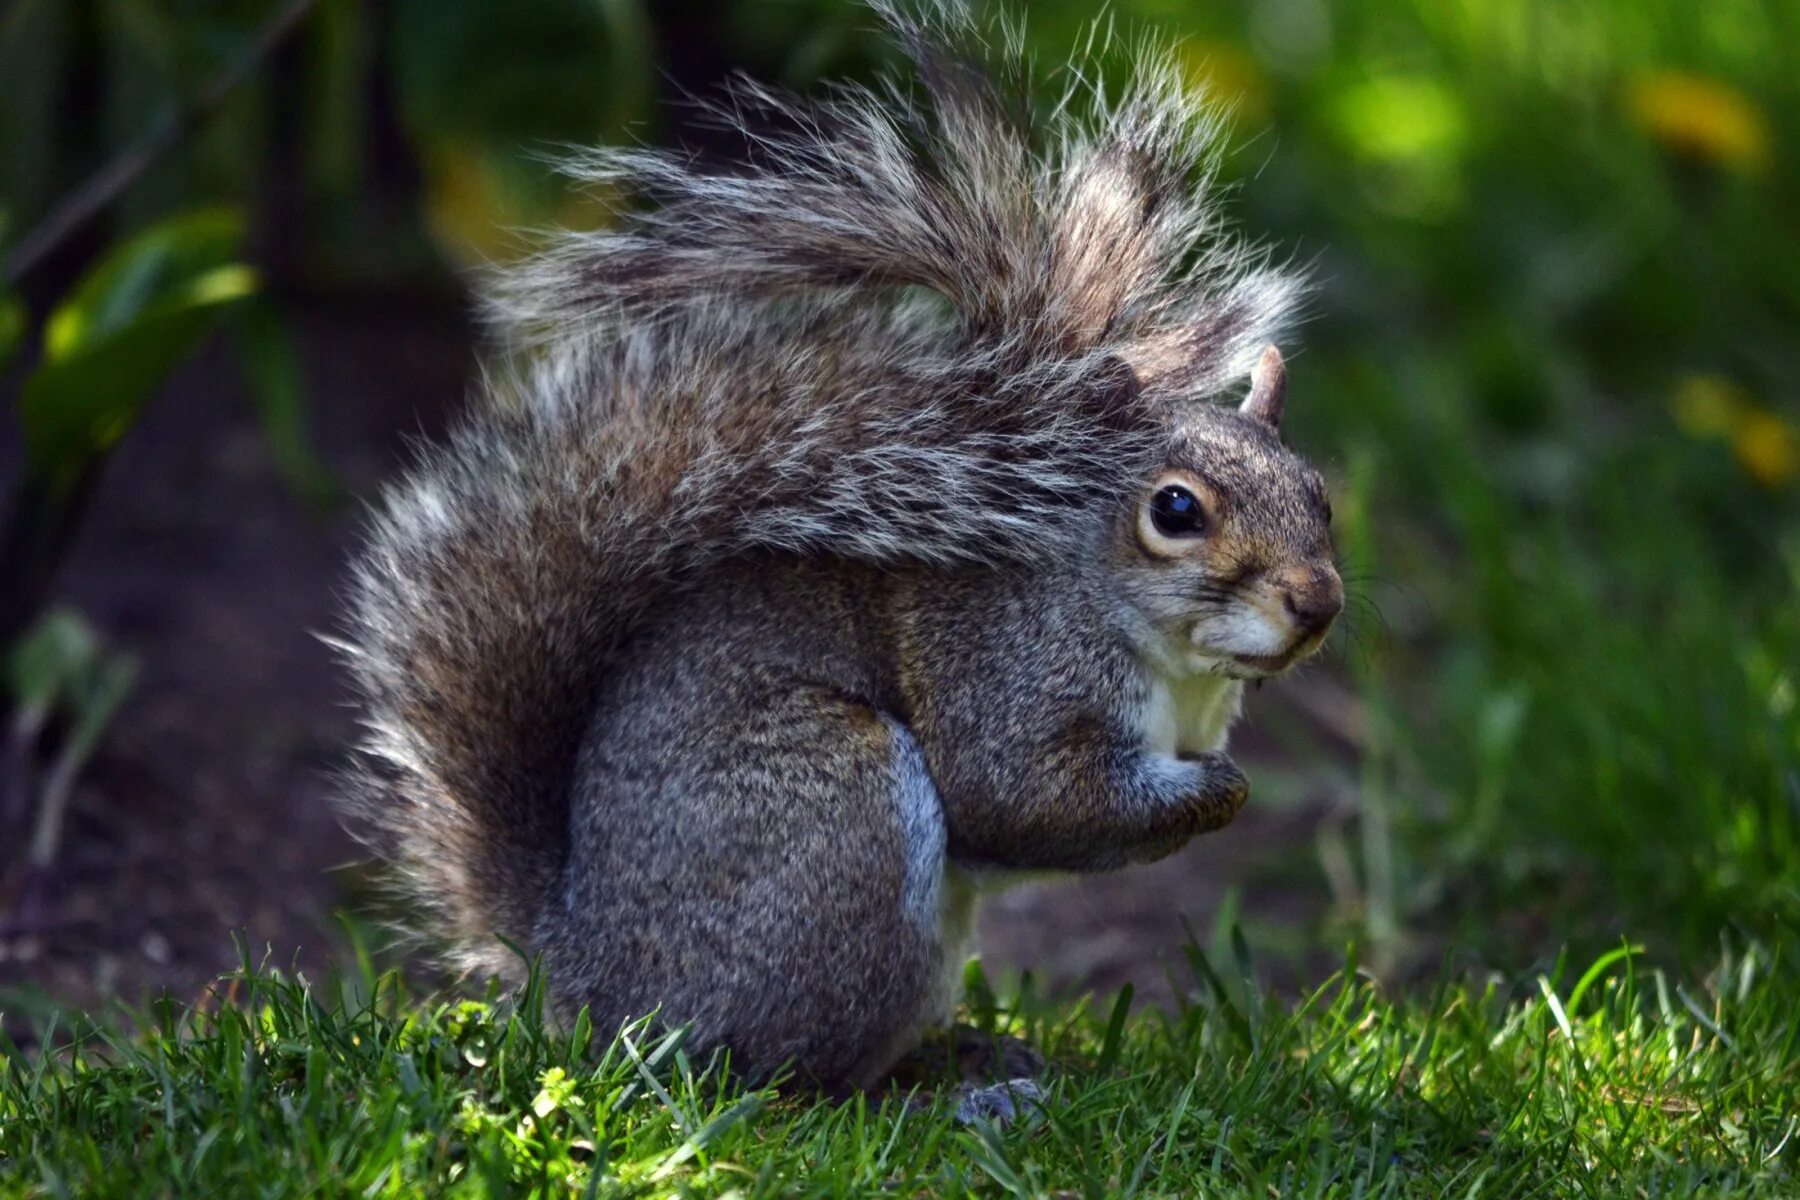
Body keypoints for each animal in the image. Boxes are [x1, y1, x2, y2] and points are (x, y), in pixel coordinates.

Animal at [343, 4, 1346, 1101]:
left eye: (1320, 496)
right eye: (1174, 510)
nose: (1317, 602)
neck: (1172, 662)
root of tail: (587, 972)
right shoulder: (1001, 674)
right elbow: (1022, 798)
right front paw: (1219, 794)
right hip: (838, 812)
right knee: (786, 1072)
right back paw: (948, 1090)